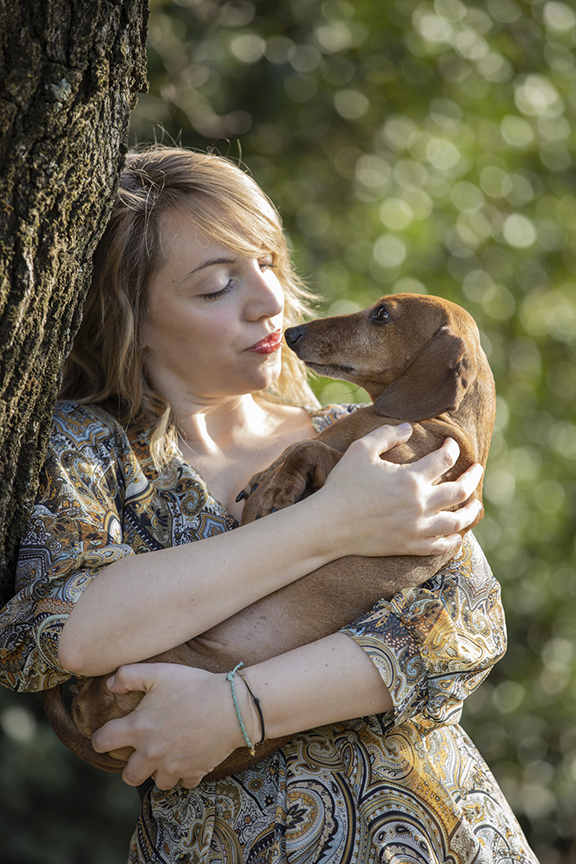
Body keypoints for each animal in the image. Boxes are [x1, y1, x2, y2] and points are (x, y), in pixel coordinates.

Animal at [42, 294, 498, 780]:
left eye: (382, 314)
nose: (292, 334)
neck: (445, 423)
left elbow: (308, 446)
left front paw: (275, 490)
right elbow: (297, 447)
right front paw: (264, 477)